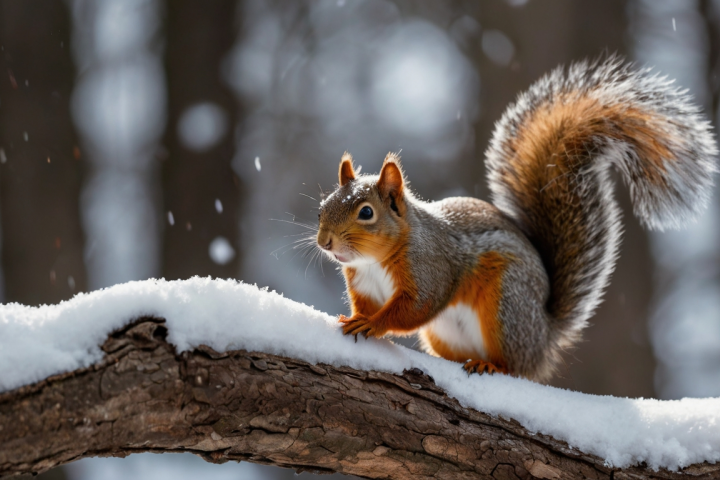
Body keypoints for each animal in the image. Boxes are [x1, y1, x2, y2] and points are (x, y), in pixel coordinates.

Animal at [315, 58, 718, 381]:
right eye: (321, 207)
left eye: (367, 213)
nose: (325, 242)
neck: (374, 260)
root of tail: (544, 337)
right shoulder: (364, 286)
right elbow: (368, 305)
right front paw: (352, 318)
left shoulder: (431, 267)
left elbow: (417, 306)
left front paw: (373, 323)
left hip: (507, 306)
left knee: (514, 366)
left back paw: (491, 365)